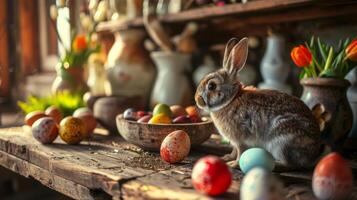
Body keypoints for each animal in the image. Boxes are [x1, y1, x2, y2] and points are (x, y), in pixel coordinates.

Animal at [195, 37, 322, 167]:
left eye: (211, 86)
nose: (197, 100)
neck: (231, 100)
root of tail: (314, 153)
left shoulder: (241, 139)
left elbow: (240, 152)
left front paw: (233, 164)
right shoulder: (235, 141)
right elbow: (234, 151)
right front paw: (227, 158)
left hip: (281, 143)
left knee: (289, 164)